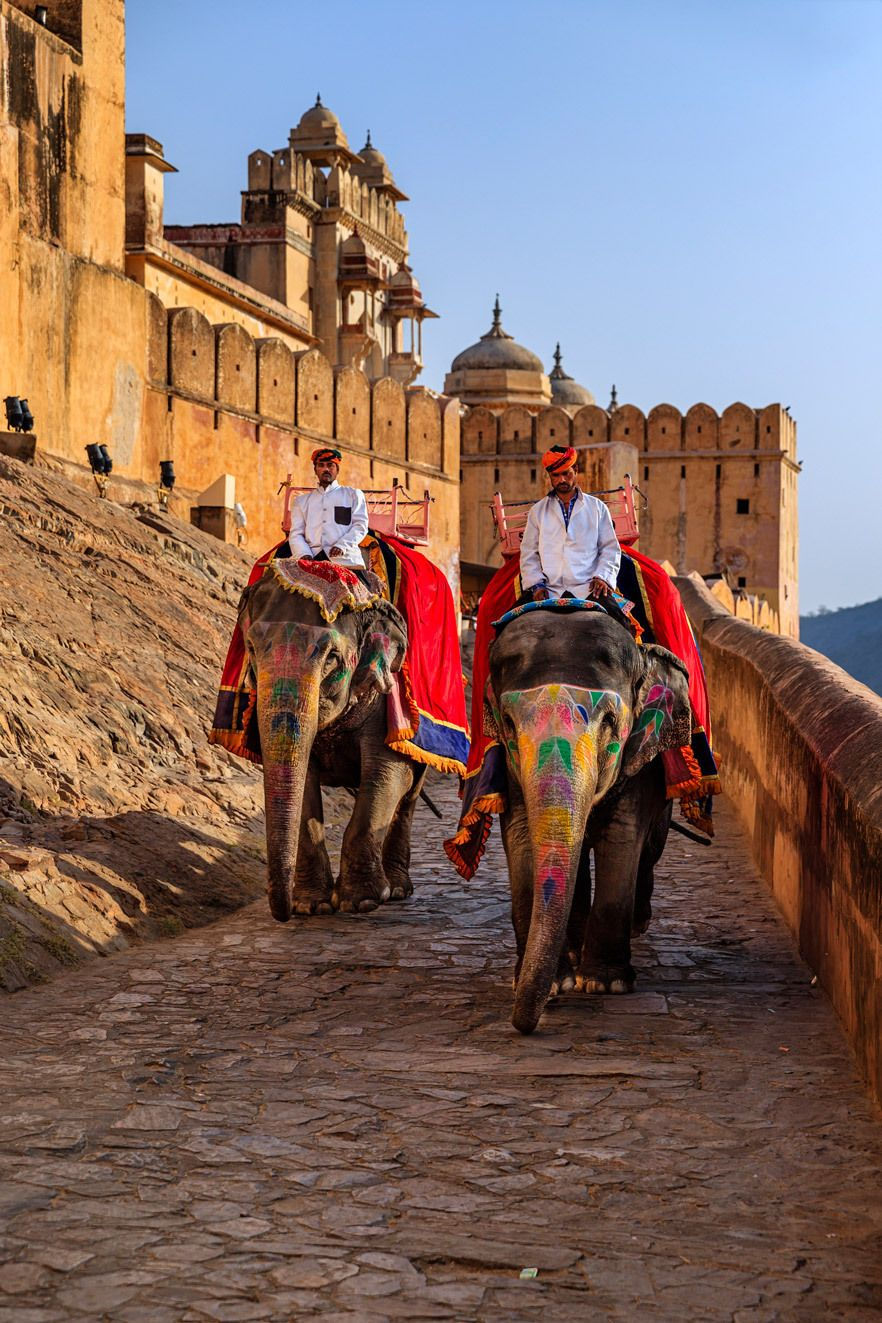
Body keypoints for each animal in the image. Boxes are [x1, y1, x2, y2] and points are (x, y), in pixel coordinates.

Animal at [238, 571, 427, 922]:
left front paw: (360, 902)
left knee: (408, 797)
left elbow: (387, 774)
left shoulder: (385, 700)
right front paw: (311, 905)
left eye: (332, 657)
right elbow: (305, 787)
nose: (283, 913)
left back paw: (396, 889)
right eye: (251, 648)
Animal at [488, 608, 691, 1034]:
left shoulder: (638, 760)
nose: (521, 1024)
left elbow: (623, 837)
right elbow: (520, 836)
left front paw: (605, 983)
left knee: (650, 849)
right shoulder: (506, 766)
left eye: (610, 720)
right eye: (510, 723)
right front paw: (552, 984)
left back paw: (635, 926)